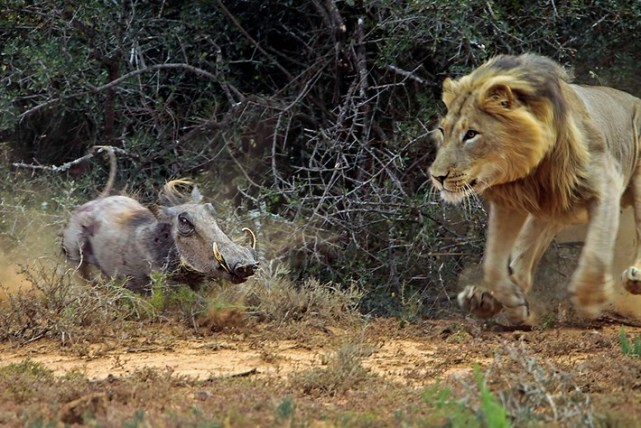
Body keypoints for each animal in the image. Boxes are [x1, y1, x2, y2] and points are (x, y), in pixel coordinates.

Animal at [428, 53, 640, 324]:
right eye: (442, 130)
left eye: (471, 134)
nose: (437, 177)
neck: (530, 171)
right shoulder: (509, 203)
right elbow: (493, 264)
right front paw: (513, 303)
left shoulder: (606, 184)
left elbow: (596, 252)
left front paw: (589, 300)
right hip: (550, 211)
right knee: (521, 259)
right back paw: (484, 300)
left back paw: (635, 278)